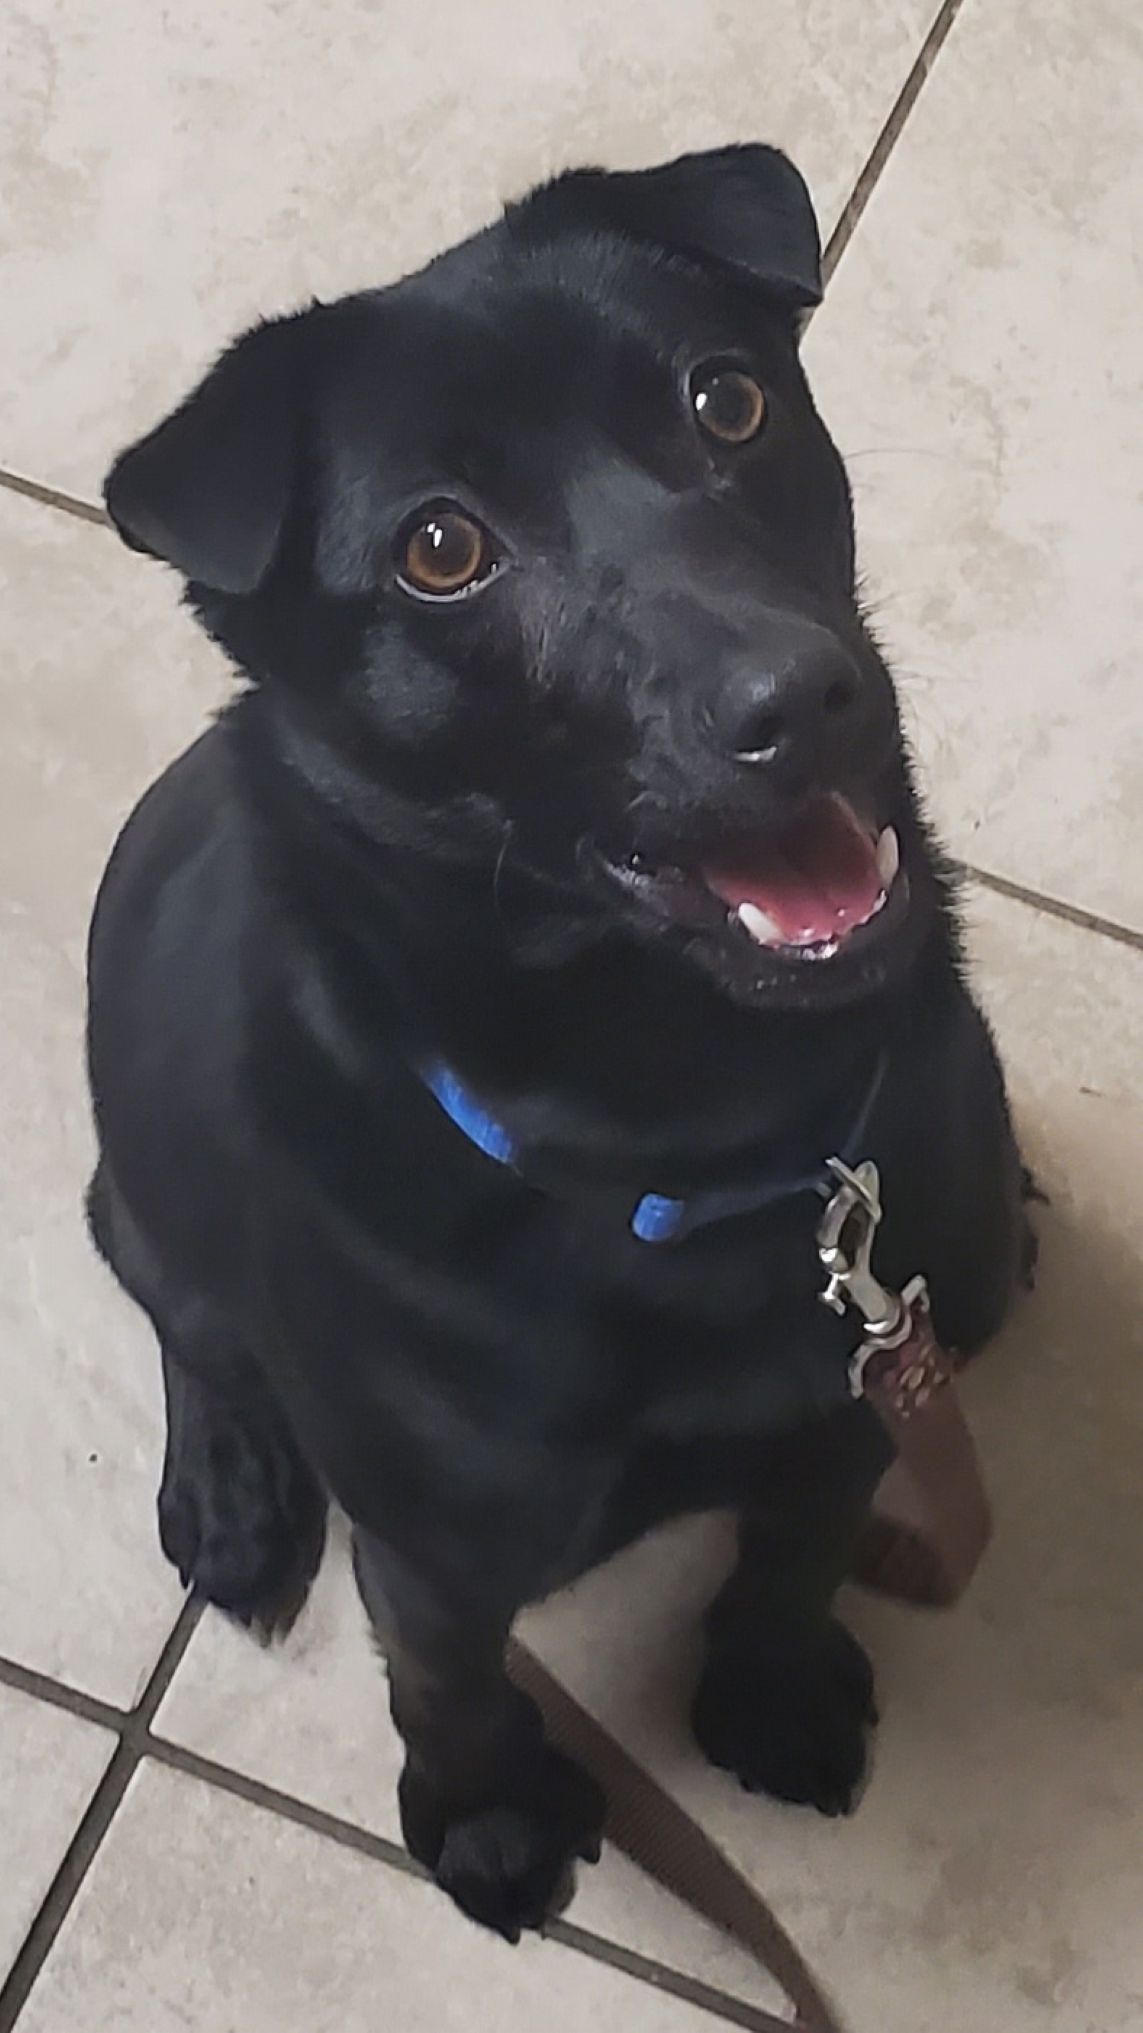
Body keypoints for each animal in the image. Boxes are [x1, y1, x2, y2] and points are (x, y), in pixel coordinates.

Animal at [87, 144, 1027, 1941]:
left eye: (726, 400)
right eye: (440, 550)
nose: (801, 696)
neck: (692, 1143)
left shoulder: (850, 1398)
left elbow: (789, 1556)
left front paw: (769, 1691)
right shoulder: (436, 1548)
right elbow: (447, 1684)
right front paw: (489, 1815)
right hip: (141, 1182)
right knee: (179, 1305)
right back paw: (232, 1485)